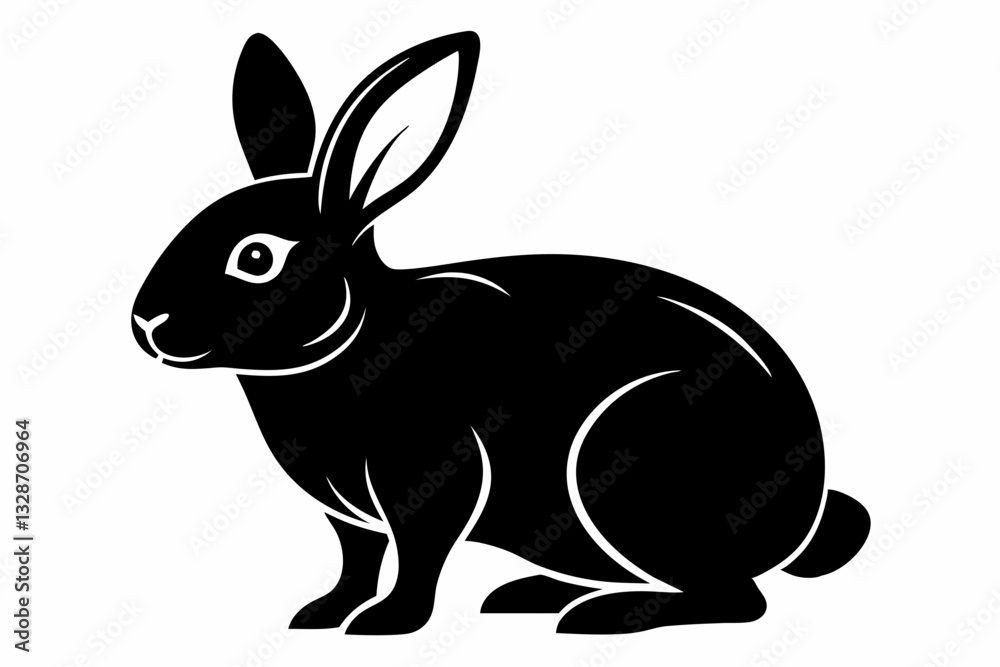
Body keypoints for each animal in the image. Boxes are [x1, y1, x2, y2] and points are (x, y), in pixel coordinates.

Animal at [131, 31, 871, 635]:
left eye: (257, 257)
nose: (146, 324)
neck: (350, 340)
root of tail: (804, 513)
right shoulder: (347, 515)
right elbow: (356, 558)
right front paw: (321, 614)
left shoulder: (429, 472)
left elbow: (419, 554)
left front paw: (385, 624)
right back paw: (534, 595)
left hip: (634, 458)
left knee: (737, 598)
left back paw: (604, 616)